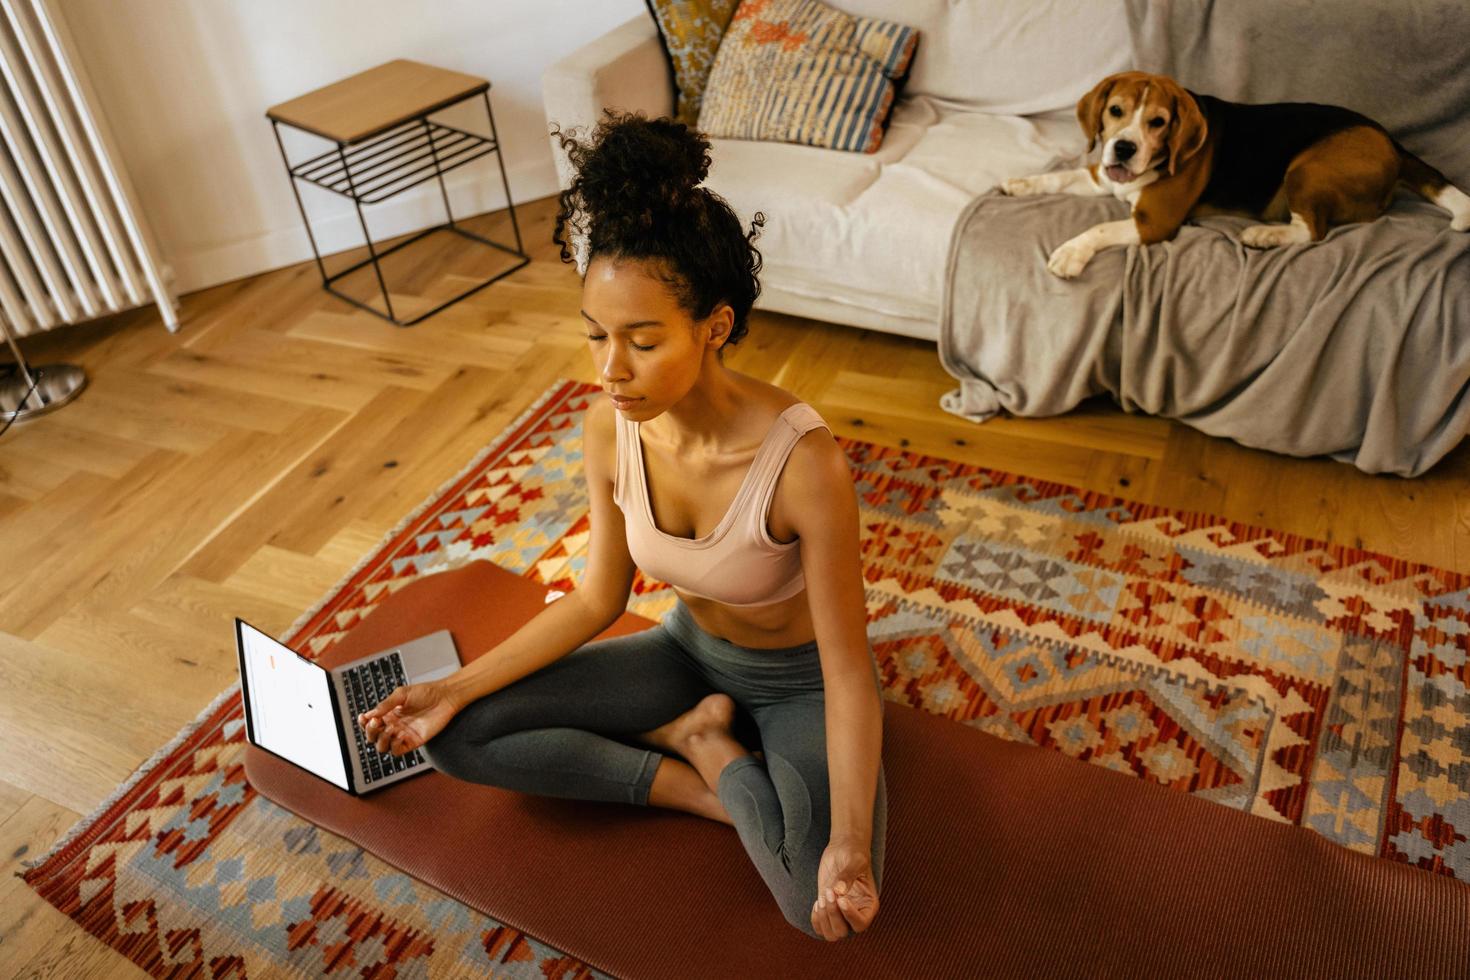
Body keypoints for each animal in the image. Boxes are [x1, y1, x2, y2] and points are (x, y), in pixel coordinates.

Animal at [999, 70, 1470, 277]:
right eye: (1115, 111)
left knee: (1312, 230)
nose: (1125, 148)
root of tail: (1390, 140)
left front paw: (1070, 253)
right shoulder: (1105, 176)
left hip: (1306, 168)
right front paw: (1021, 183)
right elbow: (1062, 177)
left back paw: (1265, 235)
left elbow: (1098, 230)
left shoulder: (1154, 222)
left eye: (1158, 122)